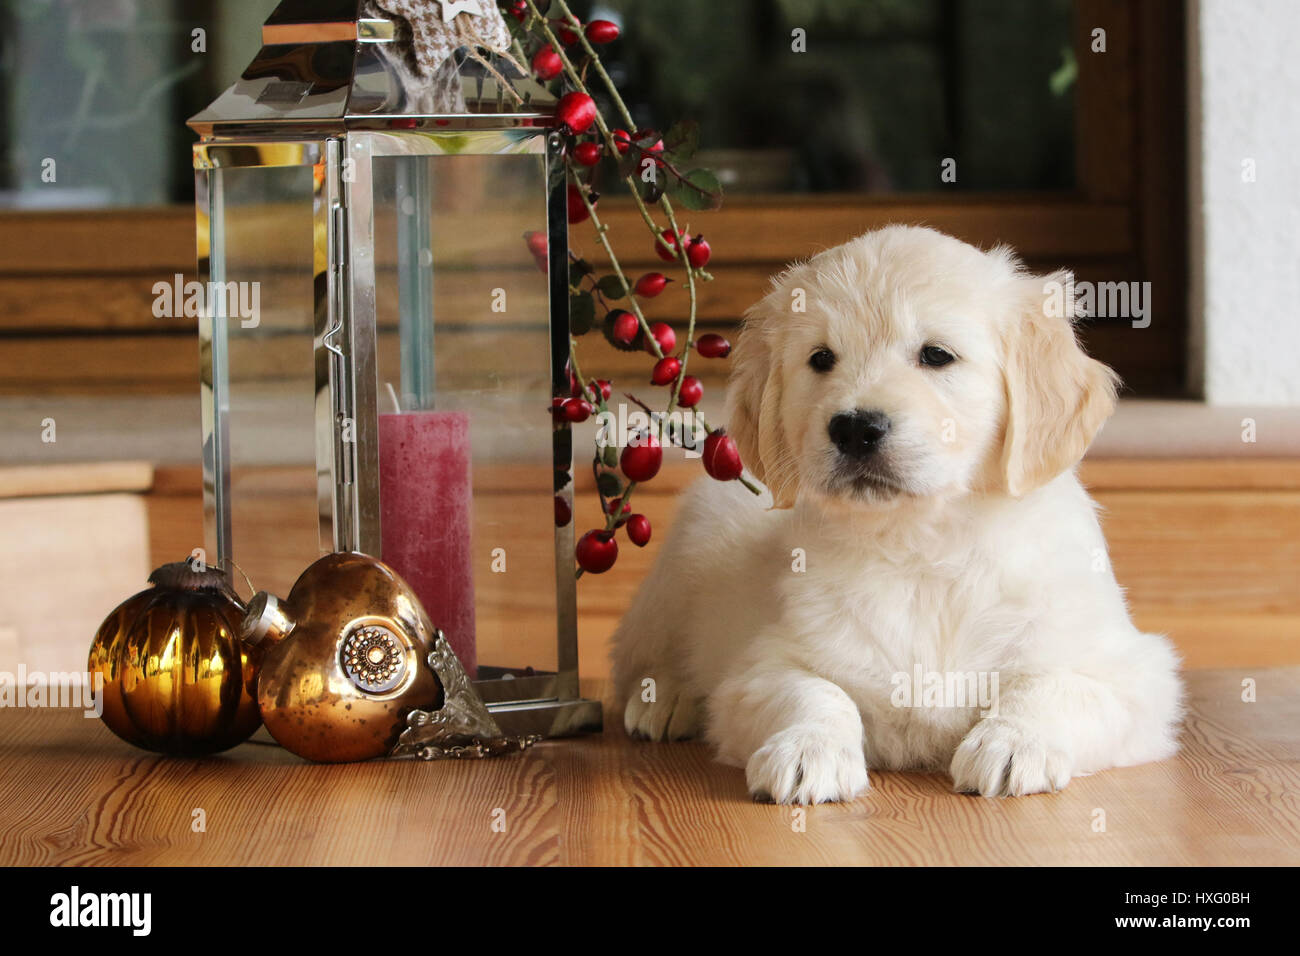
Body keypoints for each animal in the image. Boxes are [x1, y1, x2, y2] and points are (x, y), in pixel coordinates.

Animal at [608, 227, 1180, 806]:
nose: (855, 428)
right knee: (638, 660)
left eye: (936, 355)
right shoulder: (759, 668)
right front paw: (808, 748)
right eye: (821, 359)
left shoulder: (1133, 673)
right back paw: (666, 699)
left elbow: (1054, 686)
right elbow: (811, 691)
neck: (923, 548)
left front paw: (1015, 742)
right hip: (675, 577)